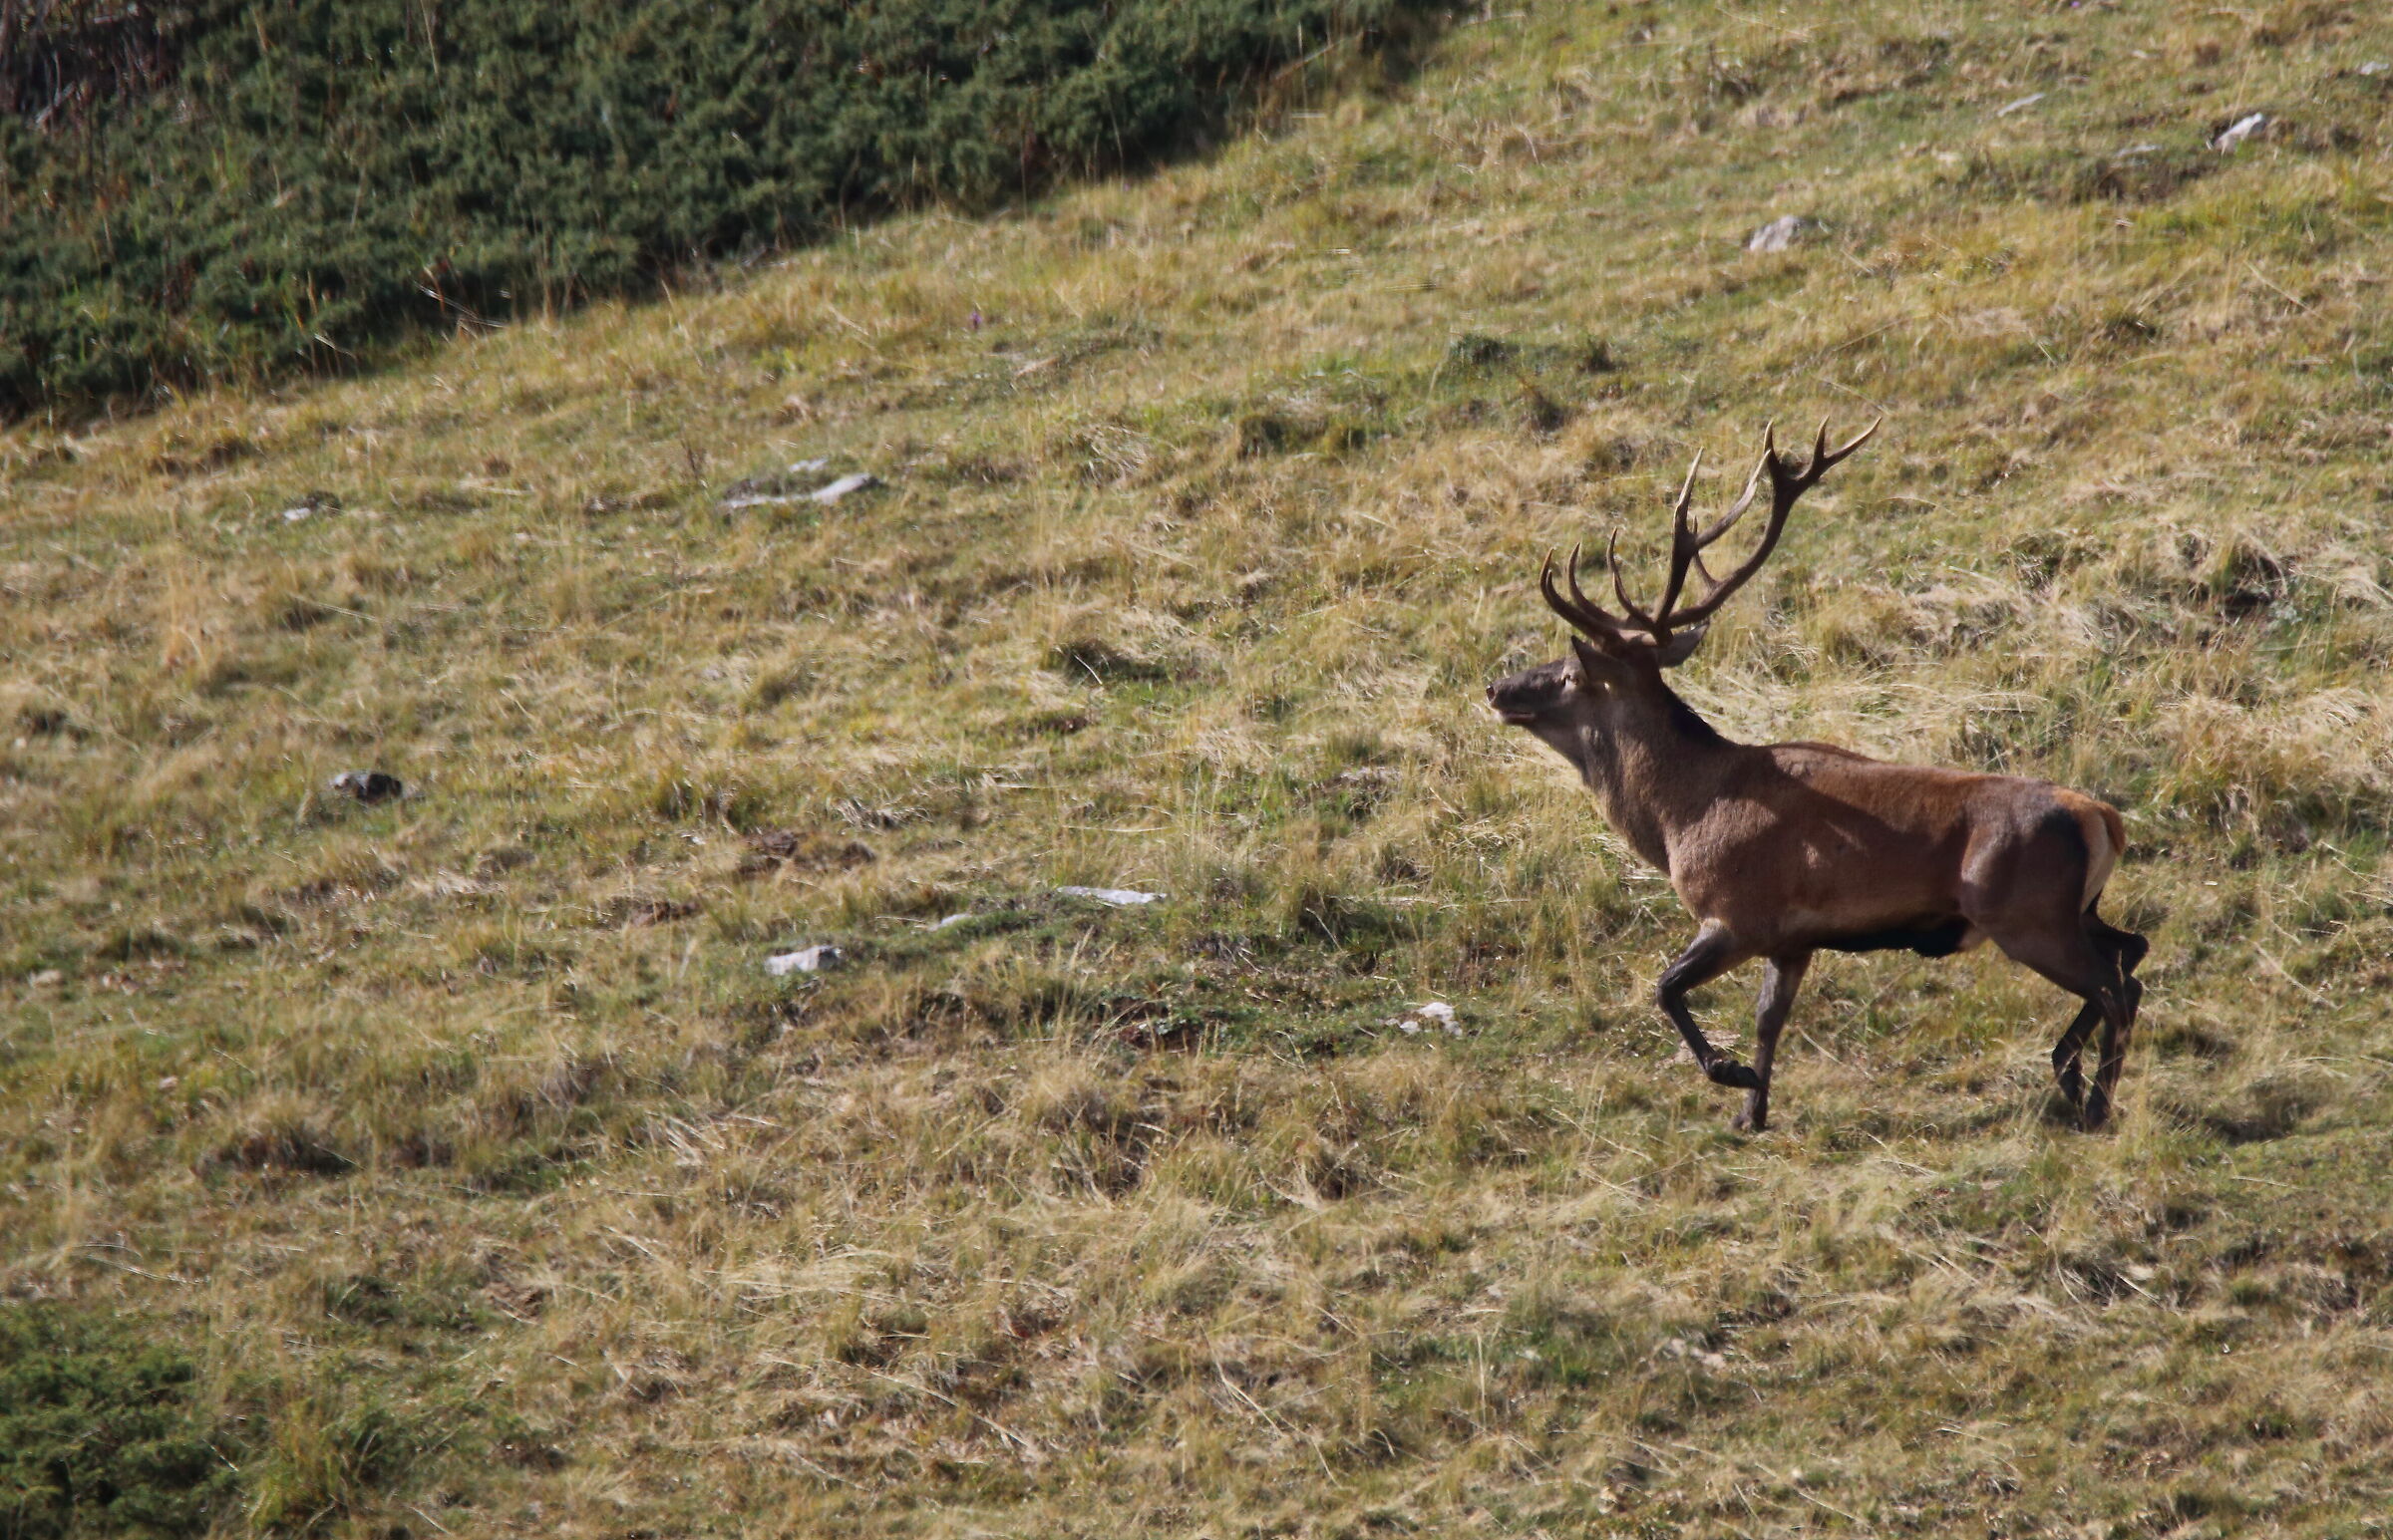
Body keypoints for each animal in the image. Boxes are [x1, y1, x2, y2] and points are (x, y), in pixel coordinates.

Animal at [1485, 421, 2146, 1133]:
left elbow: (1664, 988)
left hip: (2026, 913)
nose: (1496, 687)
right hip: (2073, 908)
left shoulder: (1736, 913)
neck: (1681, 817)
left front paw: (1730, 1074)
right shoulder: (1791, 938)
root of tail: (2103, 819)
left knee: (2115, 986)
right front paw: (1751, 1112)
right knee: (2132, 954)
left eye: (1569, 675)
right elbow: (1768, 1018)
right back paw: (2069, 1072)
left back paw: (2095, 1099)